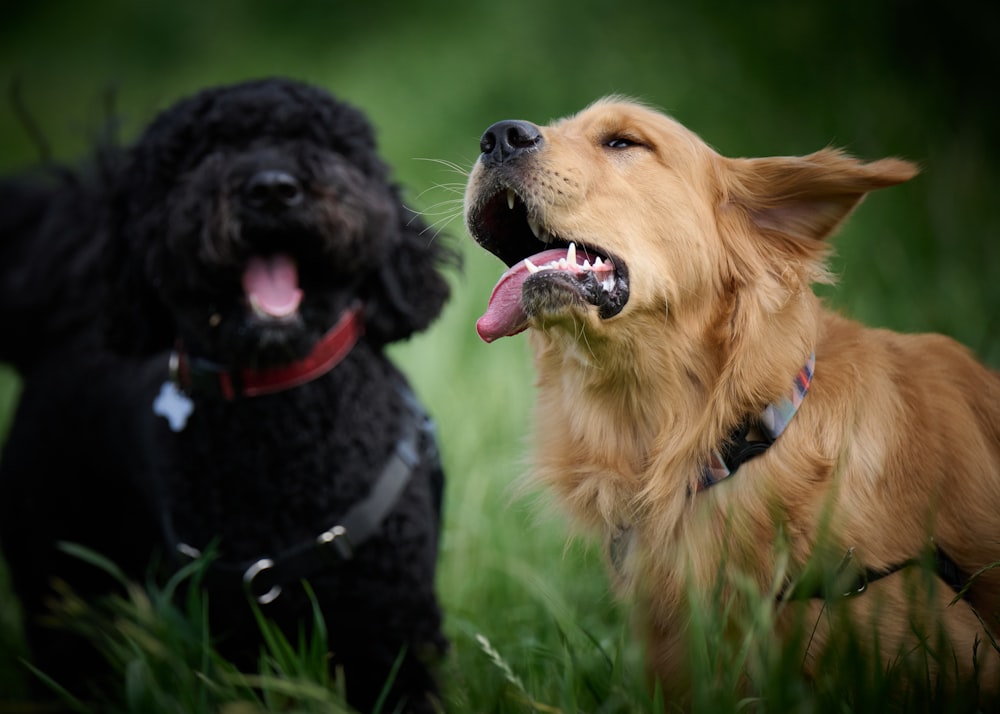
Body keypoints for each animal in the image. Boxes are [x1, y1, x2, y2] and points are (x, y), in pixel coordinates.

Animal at [0, 75, 454, 708]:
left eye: (320, 143)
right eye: (201, 154)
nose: (272, 189)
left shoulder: (393, 624)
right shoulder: (239, 635)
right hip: (59, 579)